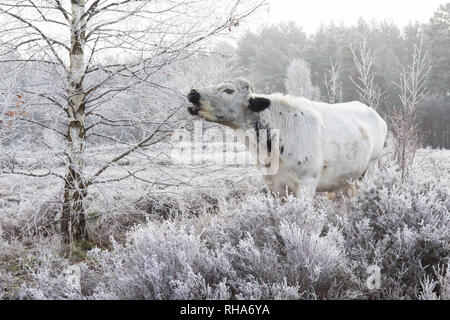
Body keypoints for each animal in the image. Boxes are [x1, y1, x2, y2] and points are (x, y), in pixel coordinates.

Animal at [188, 79, 388, 196]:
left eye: (229, 90)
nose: (193, 93)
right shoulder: (274, 185)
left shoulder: (307, 182)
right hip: (347, 178)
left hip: (371, 167)